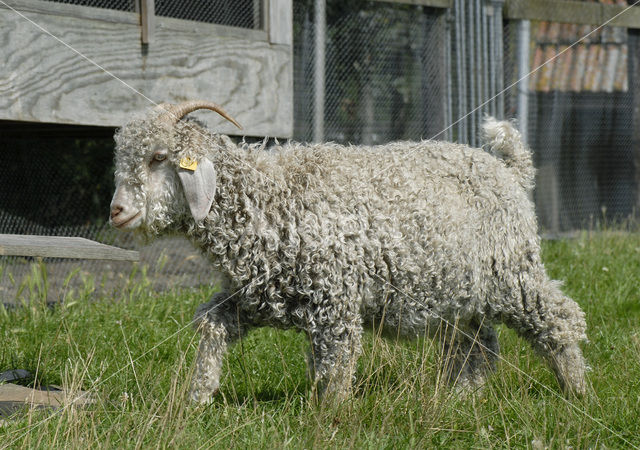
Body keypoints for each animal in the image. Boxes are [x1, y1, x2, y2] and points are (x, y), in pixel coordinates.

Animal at [109, 101, 584, 400]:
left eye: (158, 157)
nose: (117, 210)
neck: (267, 197)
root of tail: (509, 169)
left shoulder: (334, 302)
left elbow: (335, 365)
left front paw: (329, 419)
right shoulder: (257, 296)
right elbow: (212, 324)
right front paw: (197, 397)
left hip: (512, 272)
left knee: (559, 319)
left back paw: (577, 394)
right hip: (460, 291)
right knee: (477, 344)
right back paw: (462, 399)